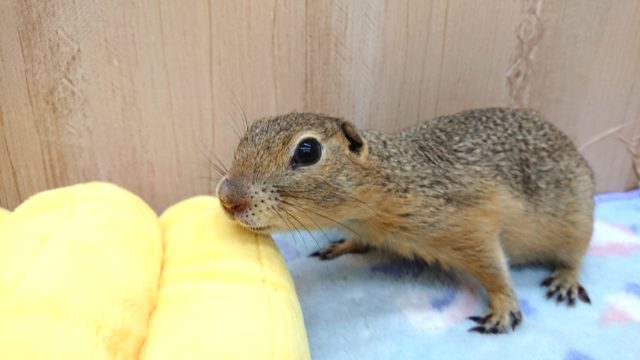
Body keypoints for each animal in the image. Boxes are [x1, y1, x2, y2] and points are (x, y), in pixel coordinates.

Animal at [216, 107, 596, 334]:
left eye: (307, 151)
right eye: (250, 132)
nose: (227, 197)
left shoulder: (473, 225)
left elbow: (494, 268)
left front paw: (503, 307)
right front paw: (343, 244)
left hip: (577, 223)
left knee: (574, 257)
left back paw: (565, 280)